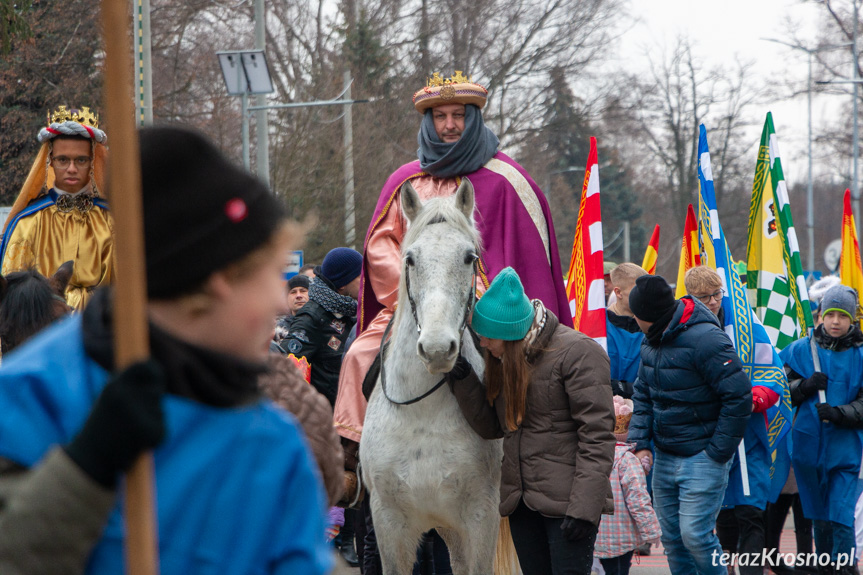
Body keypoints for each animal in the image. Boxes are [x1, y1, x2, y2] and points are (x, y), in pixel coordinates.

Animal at [360, 180, 506, 575]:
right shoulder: (388, 522)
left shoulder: (481, 519)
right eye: (410, 259)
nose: (438, 348)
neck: (422, 415)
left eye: (469, 257)